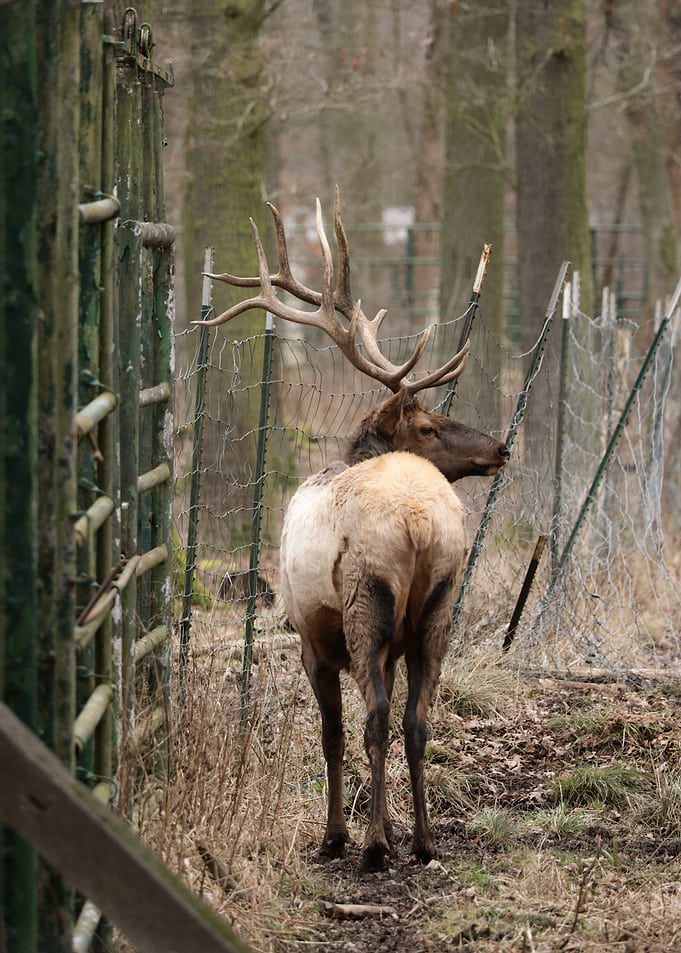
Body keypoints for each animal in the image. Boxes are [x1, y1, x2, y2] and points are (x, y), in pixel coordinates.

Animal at [199, 191, 509, 872]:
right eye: (428, 426)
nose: (500, 447)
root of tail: (418, 522)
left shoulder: (309, 638)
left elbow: (332, 735)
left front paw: (336, 834)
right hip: (439, 606)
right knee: (417, 720)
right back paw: (421, 842)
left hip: (366, 600)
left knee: (374, 720)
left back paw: (371, 847)